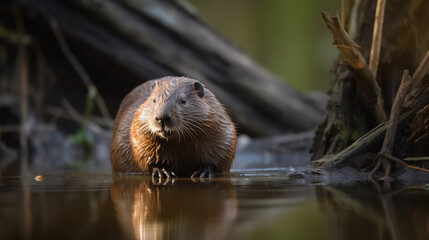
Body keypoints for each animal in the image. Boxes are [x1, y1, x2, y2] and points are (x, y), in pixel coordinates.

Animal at [109, 77, 237, 178]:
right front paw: (162, 171)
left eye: (183, 100)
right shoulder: (139, 126)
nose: (162, 118)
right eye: (154, 99)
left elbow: (222, 152)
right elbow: (142, 151)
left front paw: (203, 172)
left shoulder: (220, 125)